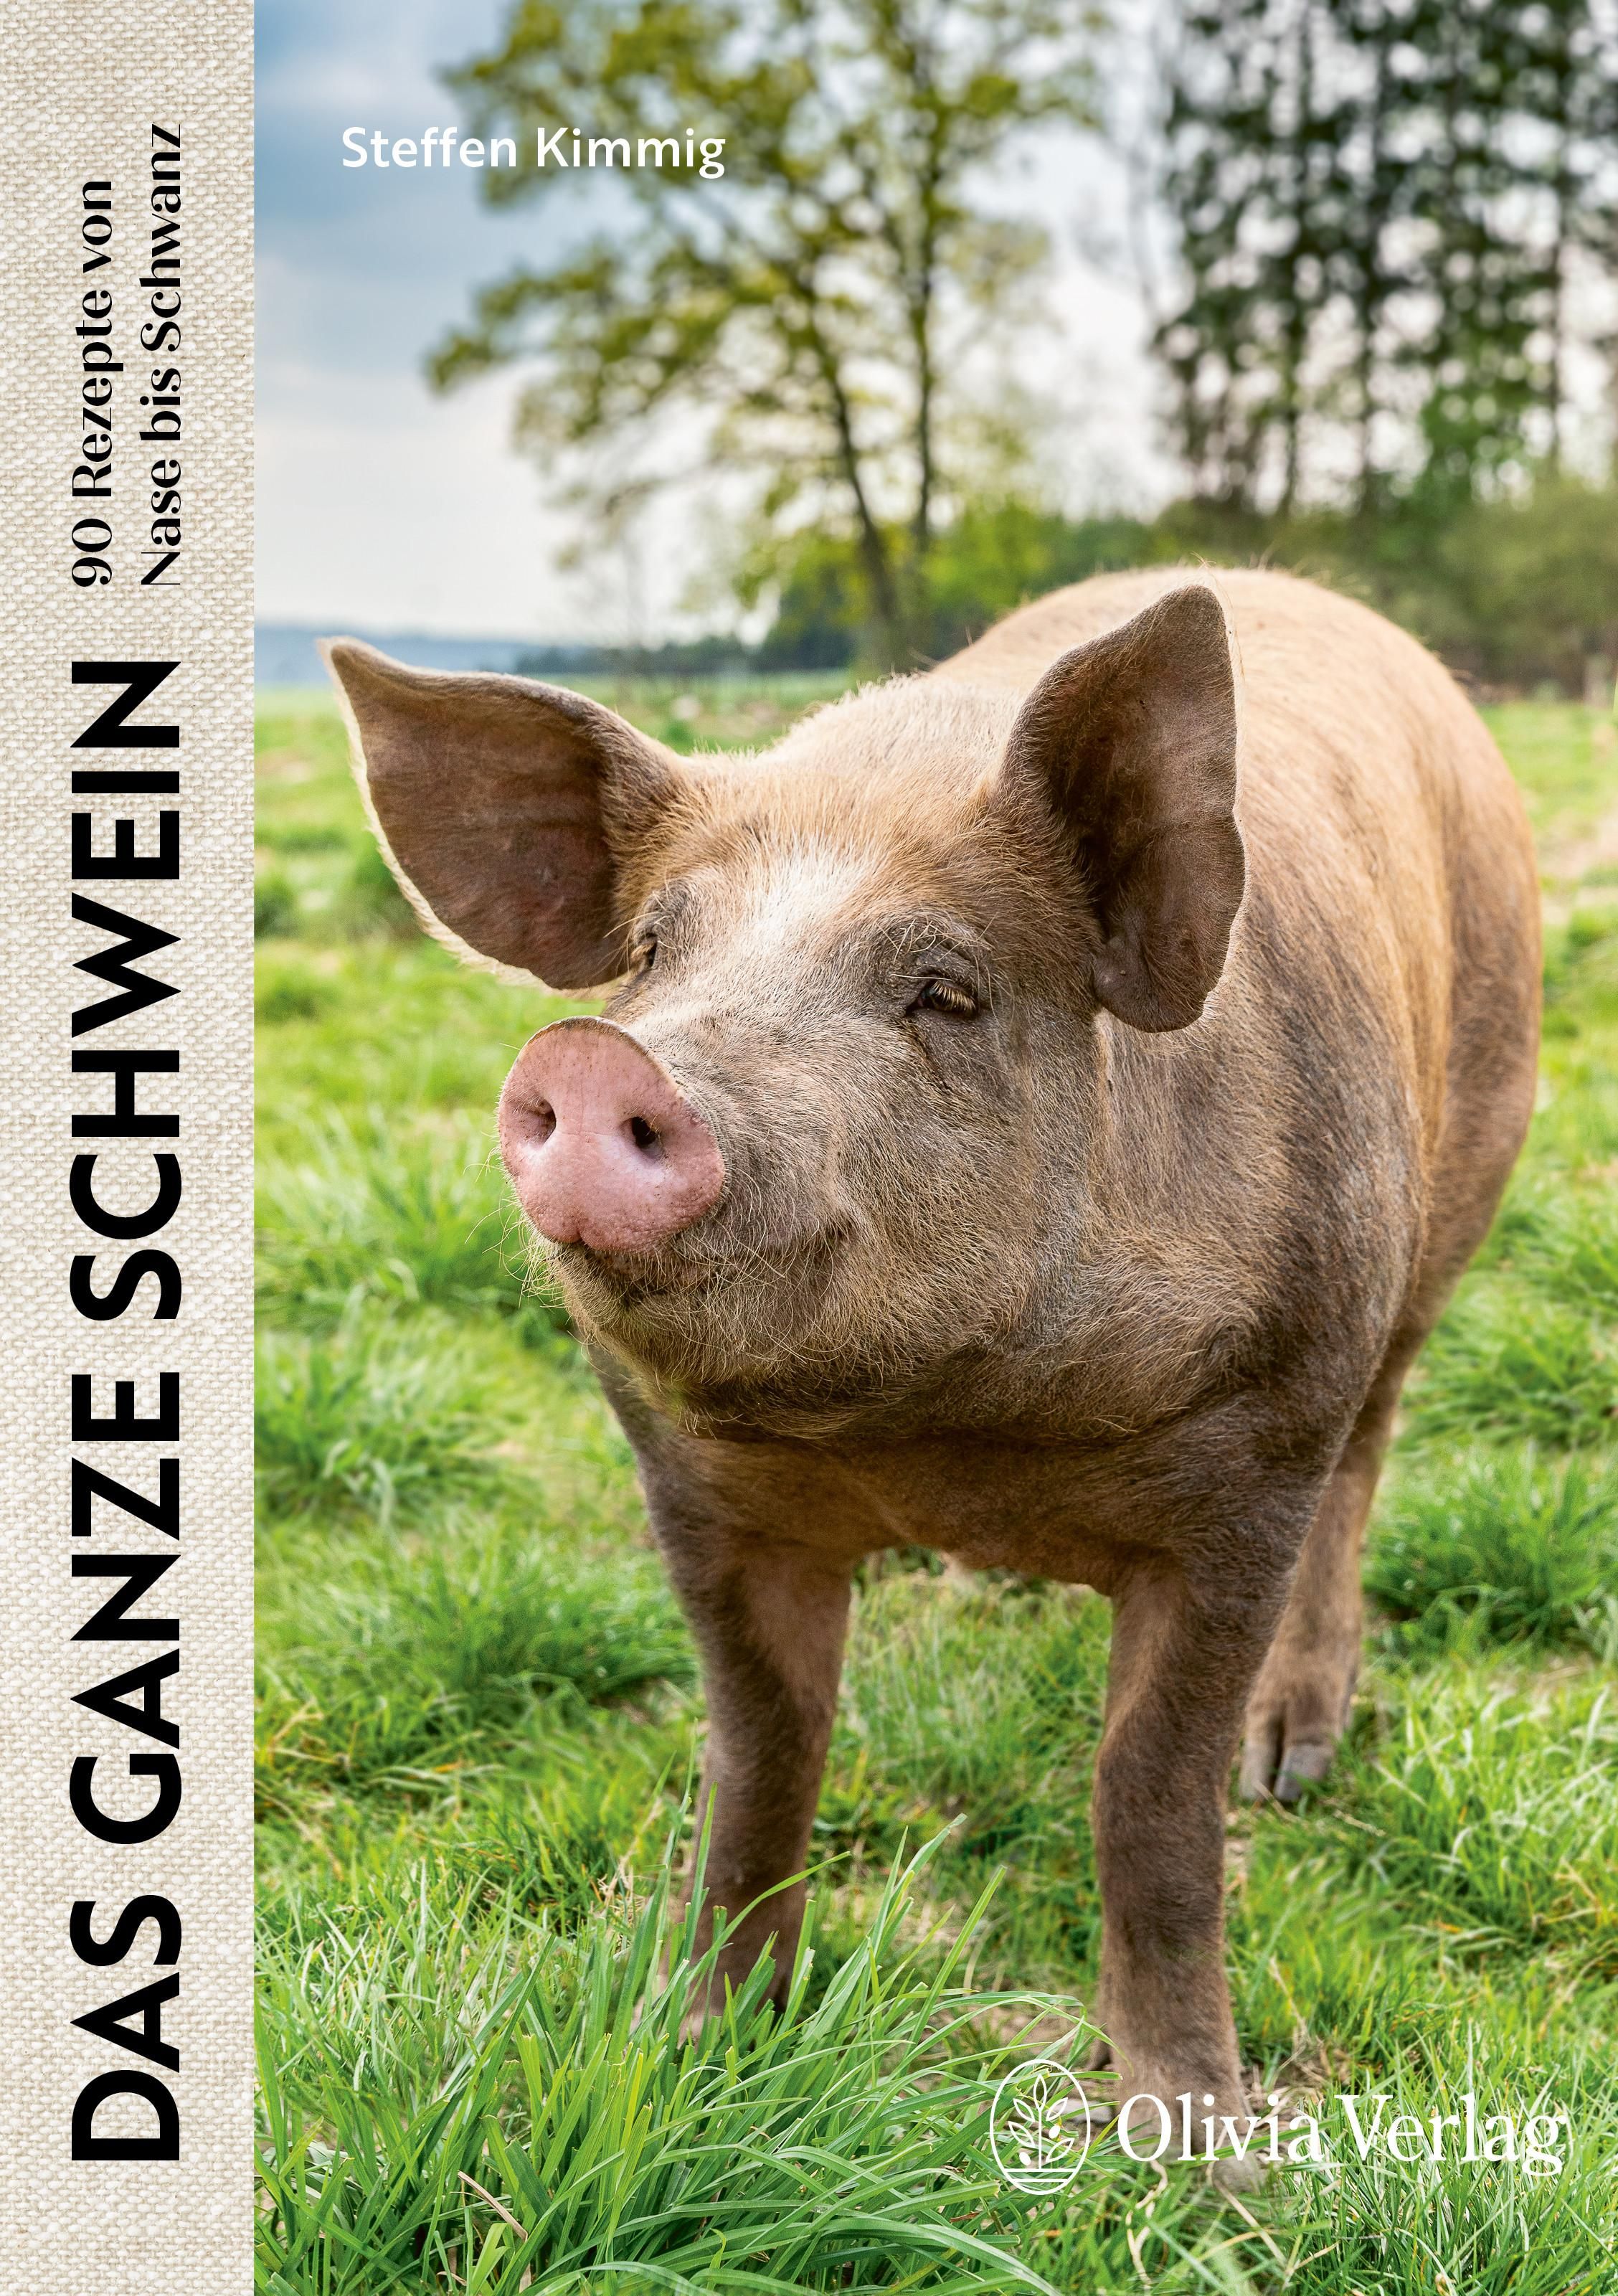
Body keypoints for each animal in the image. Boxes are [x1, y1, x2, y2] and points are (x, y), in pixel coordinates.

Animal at [323, 567, 1539, 2157]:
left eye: (947, 990)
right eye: (652, 950)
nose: (597, 1059)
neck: (951, 1434)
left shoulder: (1253, 1464)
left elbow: (1151, 1799)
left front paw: (1200, 2158)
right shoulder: (692, 1486)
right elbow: (760, 1756)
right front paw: (697, 2048)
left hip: (1445, 1208)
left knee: (1375, 1448)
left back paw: (1293, 1766)